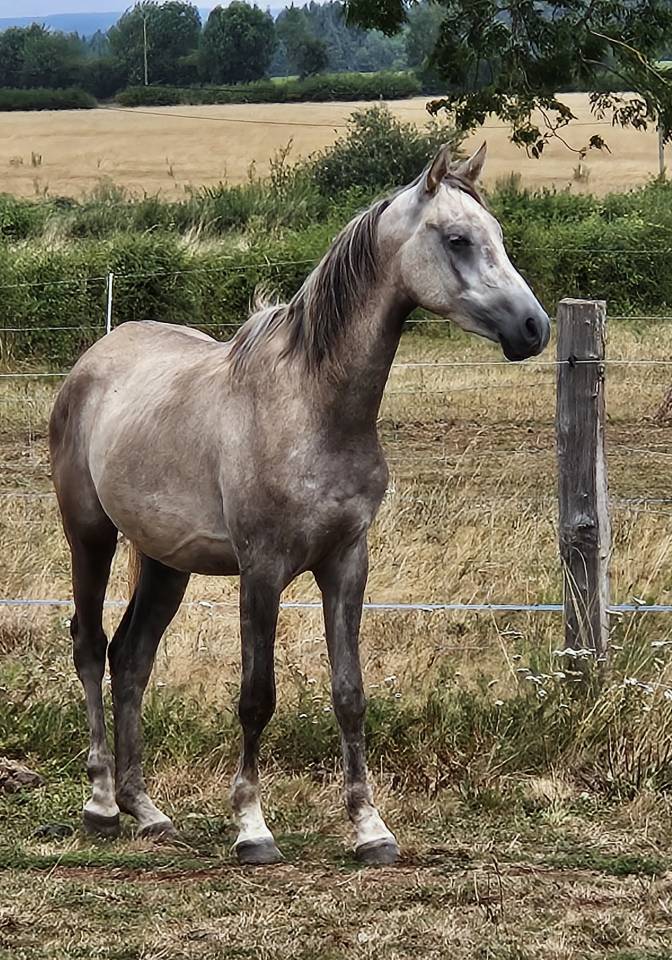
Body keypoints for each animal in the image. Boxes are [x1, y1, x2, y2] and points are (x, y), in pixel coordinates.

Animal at [49, 143, 550, 866]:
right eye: (458, 239)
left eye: (499, 236)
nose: (534, 327)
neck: (313, 406)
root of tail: (94, 359)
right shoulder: (262, 569)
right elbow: (257, 696)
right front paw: (252, 828)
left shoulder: (346, 563)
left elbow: (350, 694)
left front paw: (370, 829)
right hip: (89, 535)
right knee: (90, 647)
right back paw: (99, 804)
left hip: (166, 562)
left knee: (132, 658)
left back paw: (145, 809)